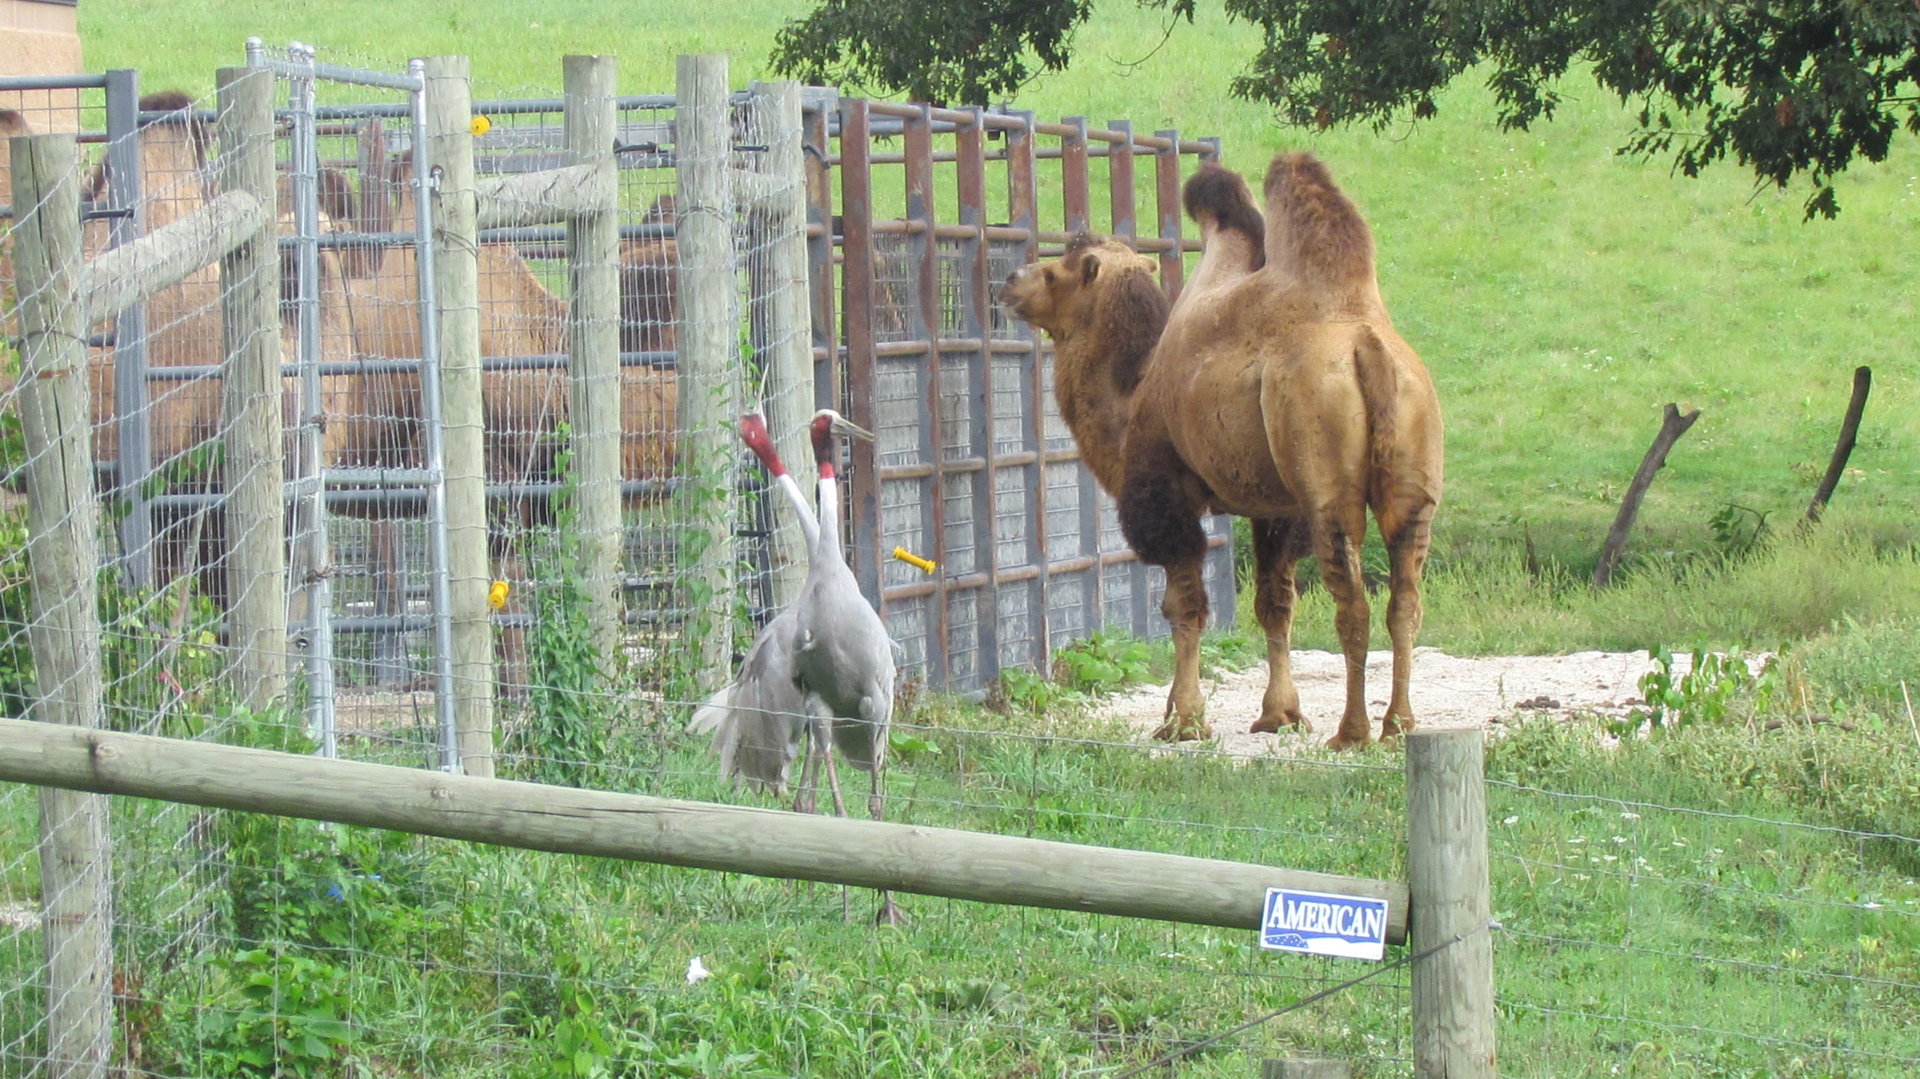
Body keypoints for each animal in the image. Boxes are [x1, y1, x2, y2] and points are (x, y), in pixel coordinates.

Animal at [1001, 152, 1443, 749]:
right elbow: (1275, 603)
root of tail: (1367, 345)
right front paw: (1280, 715)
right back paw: (1399, 724)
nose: (1010, 280)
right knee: (1406, 599)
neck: (1133, 394)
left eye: (1057, 271)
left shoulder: (1166, 493)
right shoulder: (1276, 508)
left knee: (1353, 601)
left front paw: (1182, 721)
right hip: (1414, 469)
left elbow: (1184, 606)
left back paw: (1352, 732)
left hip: (1326, 480)